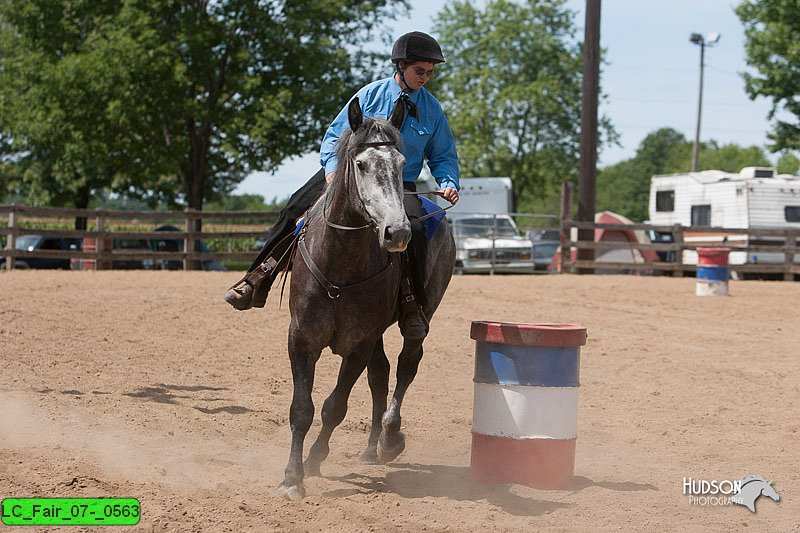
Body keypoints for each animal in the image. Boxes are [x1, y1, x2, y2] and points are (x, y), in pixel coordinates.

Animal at [278, 96, 456, 498]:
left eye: (402, 164)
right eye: (361, 164)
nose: (398, 232)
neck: (339, 265)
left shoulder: (358, 343)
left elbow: (334, 407)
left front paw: (314, 460)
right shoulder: (301, 338)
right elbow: (302, 408)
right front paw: (292, 477)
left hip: (413, 320)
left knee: (405, 367)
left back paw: (389, 437)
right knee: (381, 375)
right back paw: (372, 448)